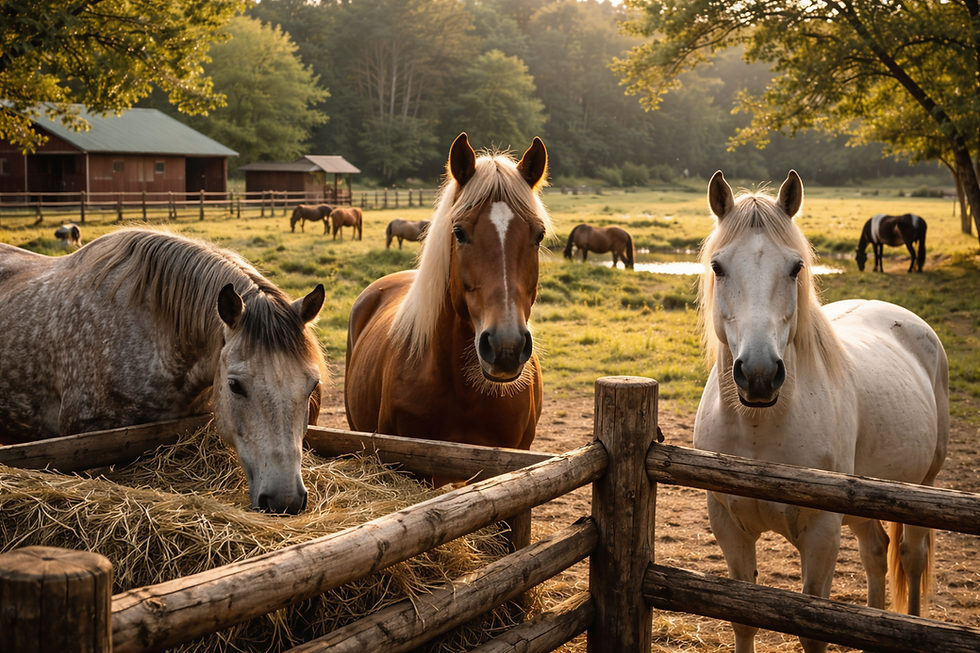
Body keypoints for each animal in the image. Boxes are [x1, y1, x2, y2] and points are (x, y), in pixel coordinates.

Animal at [695, 171, 949, 653]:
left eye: (795, 268)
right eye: (718, 267)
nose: (759, 374)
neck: (759, 430)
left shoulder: (822, 534)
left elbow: (813, 628)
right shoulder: (729, 527)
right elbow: (742, 619)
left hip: (920, 489)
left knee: (910, 557)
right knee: (875, 553)